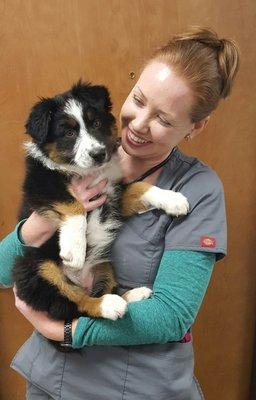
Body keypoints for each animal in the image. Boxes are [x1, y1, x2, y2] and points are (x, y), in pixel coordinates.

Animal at [13, 81, 189, 324]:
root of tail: (82, 281)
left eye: (95, 123)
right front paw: (74, 249)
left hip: (105, 264)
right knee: (74, 302)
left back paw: (133, 295)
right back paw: (108, 305)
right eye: (69, 132)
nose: (98, 154)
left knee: (98, 292)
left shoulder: (112, 195)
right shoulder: (40, 185)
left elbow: (139, 187)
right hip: (35, 267)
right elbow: (74, 204)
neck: (88, 172)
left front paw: (174, 199)